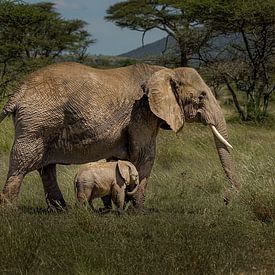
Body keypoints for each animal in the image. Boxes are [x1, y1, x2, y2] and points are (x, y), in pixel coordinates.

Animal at [0, 62, 240, 209]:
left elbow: (118, 159)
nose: (226, 199)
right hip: (37, 121)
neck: (165, 71)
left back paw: (61, 210)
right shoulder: (142, 112)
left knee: (45, 167)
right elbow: (145, 155)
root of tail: (19, 91)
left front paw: (115, 206)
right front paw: (138, 210)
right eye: (201, 96)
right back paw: (12, 212)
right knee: (22, 165)